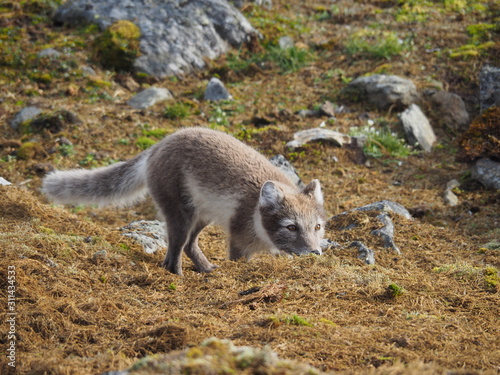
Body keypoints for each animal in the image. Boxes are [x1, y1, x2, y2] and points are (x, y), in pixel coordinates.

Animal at [42, 127, 324, 276]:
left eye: (317, 227)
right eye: (291, 227)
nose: (315, 253)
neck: (255, 213)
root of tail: (159, 144)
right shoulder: (238, 239)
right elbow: (238, 258)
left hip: (201, 216)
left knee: (188, 245)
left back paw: (206, 269)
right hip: (180, 214)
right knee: (176, 247)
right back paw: (176, 273)